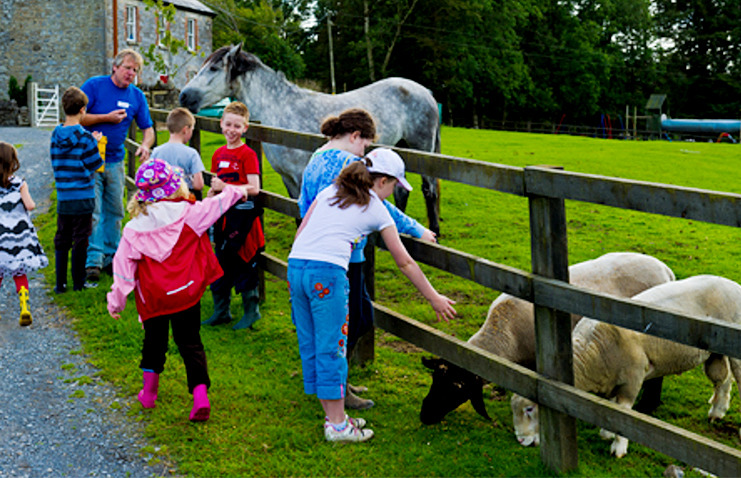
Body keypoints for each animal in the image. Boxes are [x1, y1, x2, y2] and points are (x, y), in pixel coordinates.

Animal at [181, 44, 440, 234]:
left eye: (214, 68)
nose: (184, 97)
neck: (281, 110)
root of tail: (426, 92)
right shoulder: (288, 179)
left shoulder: (300, 175)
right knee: (402, 192)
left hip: (423, 151)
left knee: (430, 190)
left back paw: (435, 232)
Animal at [420, 252, 672, 424]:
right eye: (434, 378)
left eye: (456, 387)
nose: (425, 415)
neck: (504, 332)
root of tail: (665, 269)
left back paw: (648, 406)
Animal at [512, 274, 740, 458]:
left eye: (530, 408)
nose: (521, 440)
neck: (592, 353)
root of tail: (732, 284)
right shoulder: (611, 380)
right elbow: (610, 407)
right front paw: (606, 432)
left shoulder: (633, 377)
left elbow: (622, 413)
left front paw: (618, 447)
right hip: (714, 352)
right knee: (722, 378)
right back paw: (717, 410)